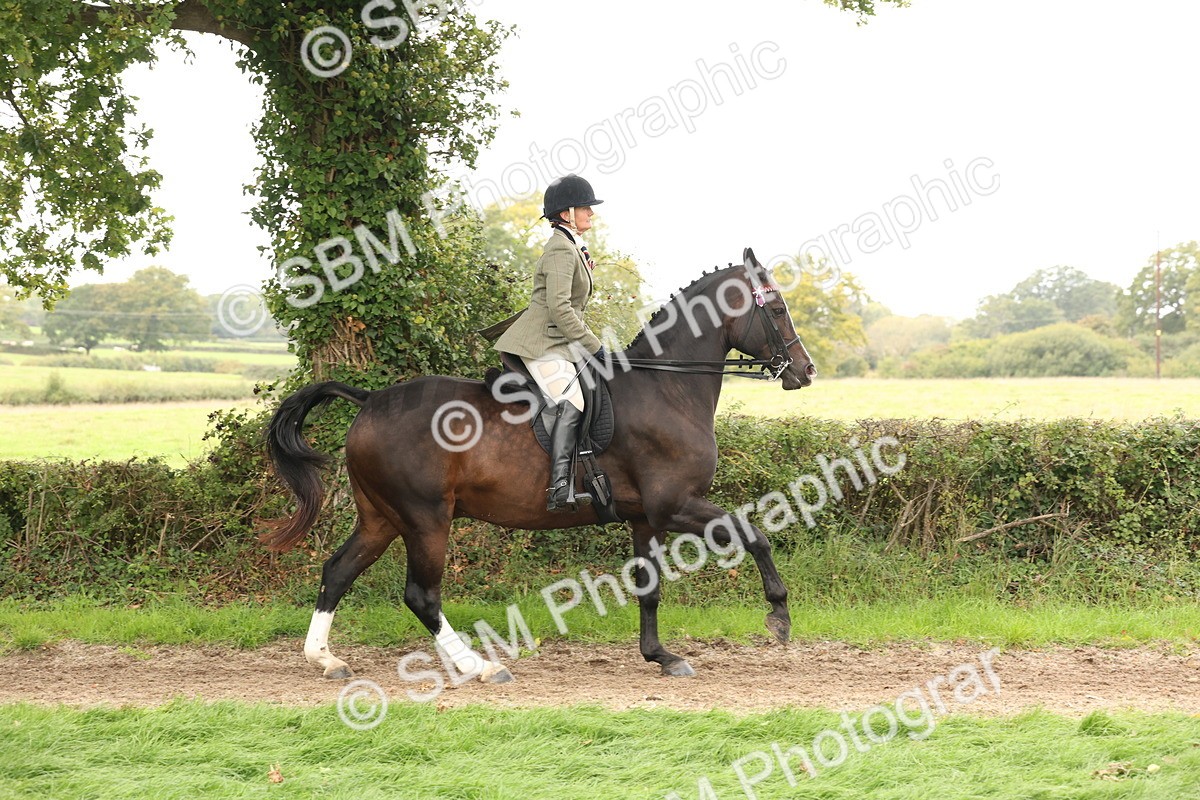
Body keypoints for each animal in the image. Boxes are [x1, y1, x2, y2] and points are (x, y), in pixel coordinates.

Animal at [262, 248, 816, 683]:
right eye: (778, 308)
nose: (805, 371)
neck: (667, 386)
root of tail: (371, 398)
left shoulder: (646, 517)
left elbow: (649, 588)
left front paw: (660, 656)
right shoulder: (676, 504)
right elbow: (754, 535)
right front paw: (779, 616)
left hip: (382, 517)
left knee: (338, 571)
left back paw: (326, 660)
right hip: (425, 518)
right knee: (421, 595)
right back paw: (479, 667)